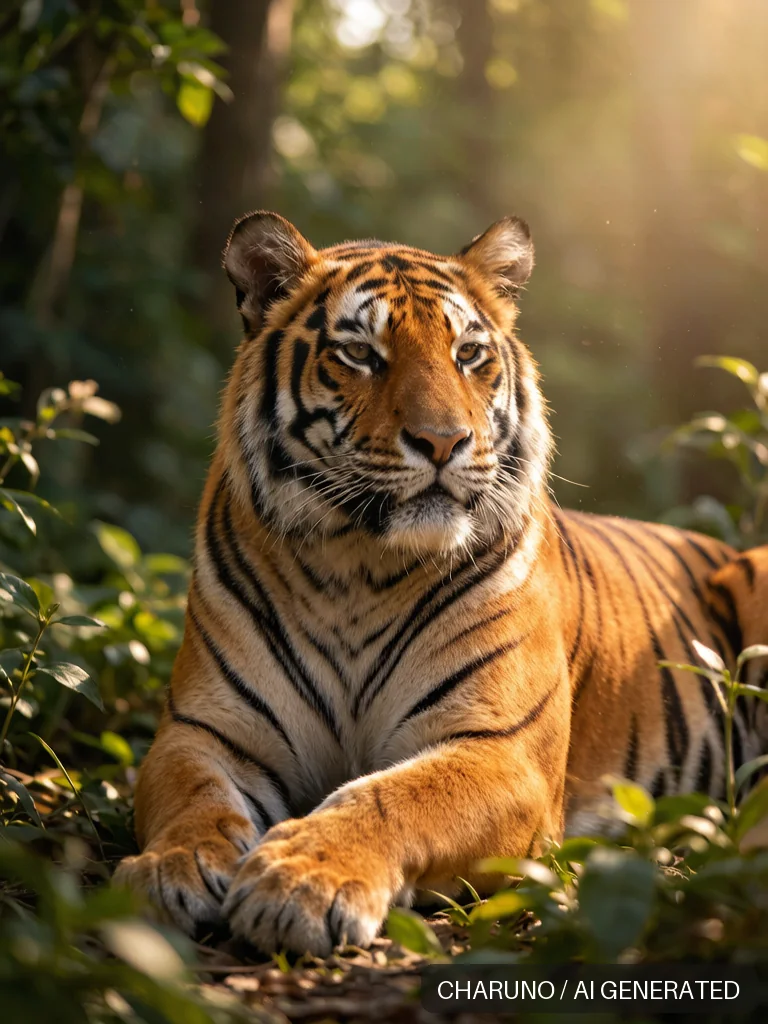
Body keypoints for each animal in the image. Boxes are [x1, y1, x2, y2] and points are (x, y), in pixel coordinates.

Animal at [113, 211, 768, 956]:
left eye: (469, 354)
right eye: (360, 354)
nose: (443, 442)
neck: (356, 567)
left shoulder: (501, 749)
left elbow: (390, 798)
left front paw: (302, 880)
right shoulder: (204, 730)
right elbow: (194, 796)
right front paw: (169, 869)